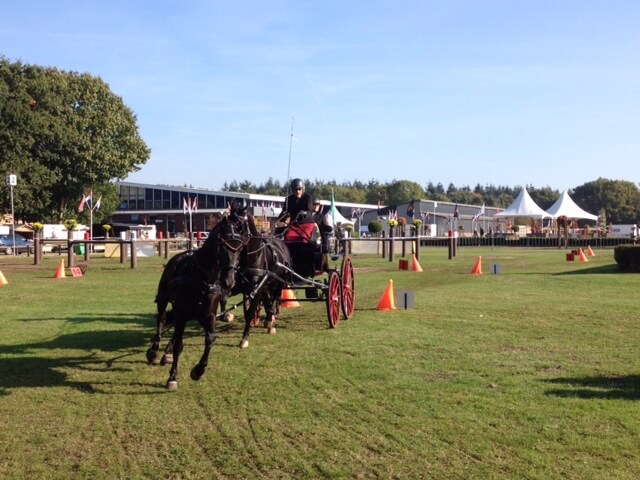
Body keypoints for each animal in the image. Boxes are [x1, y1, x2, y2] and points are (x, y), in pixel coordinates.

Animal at [147, 202, 250, 390]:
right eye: (222, 246)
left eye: (239, 248)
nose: (229, 281)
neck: (203, 277)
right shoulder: (182, 314)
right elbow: (179, 345)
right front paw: (172, 377)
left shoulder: (207, 315)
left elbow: (210, 339)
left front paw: (198, 370)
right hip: (164, 299)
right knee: (162, 319)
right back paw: (154, 350)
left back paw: (166, 354)